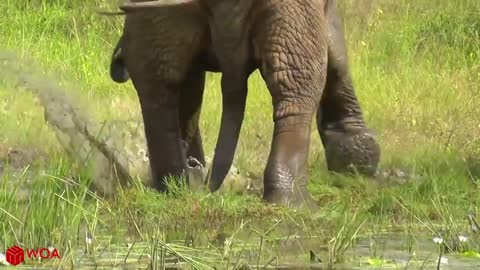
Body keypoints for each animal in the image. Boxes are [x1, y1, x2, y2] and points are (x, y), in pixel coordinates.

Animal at [109, 0, 382, 206]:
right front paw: (357, 162)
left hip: (156, 16)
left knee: (158, 82)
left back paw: (177, 185)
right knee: (297, 87)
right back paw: (294, 203)